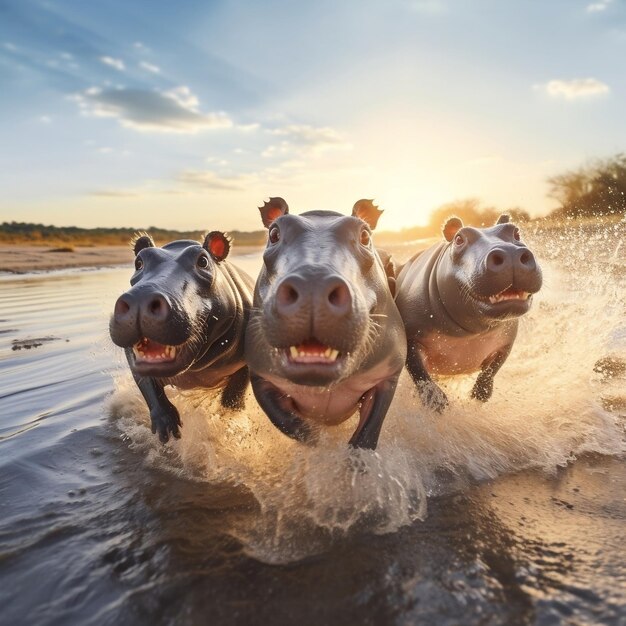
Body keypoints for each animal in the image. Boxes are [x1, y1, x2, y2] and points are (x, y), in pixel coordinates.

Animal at [109, 229, 254, 438]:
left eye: (203, 261)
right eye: (139, 262)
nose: (141, 298)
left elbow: (236, 390)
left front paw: (228, 419)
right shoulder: (135, 359)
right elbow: (148, 386)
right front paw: (166, 428)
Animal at [244, 197, 404, 446]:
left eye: (365, 235)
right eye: (274, 233)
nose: (313, 283)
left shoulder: (388, 373)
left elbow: (367, 434)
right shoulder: (261, 375)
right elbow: (290, 425)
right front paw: (319, 445)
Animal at [394, 214, 540, 410]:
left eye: (516, 231)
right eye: (458, 239)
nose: (510, 253)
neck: (470, 331)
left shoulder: (505, 342)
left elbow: (493, 368)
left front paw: (479, 395)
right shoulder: (412, 337)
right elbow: (418, 370)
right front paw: (438, 403)